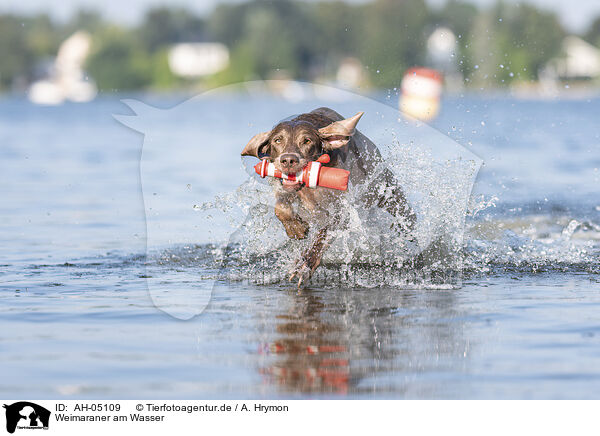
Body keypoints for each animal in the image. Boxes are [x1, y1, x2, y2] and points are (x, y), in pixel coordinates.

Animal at [241, 107, 414, 288]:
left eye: (307, 140)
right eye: (278, 140)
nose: (288, 160)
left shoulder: (341, 212)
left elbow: (323, 235)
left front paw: (304, 265)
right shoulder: (283, 189)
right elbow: (280, 208)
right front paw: (296, 229)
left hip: (390, 194)